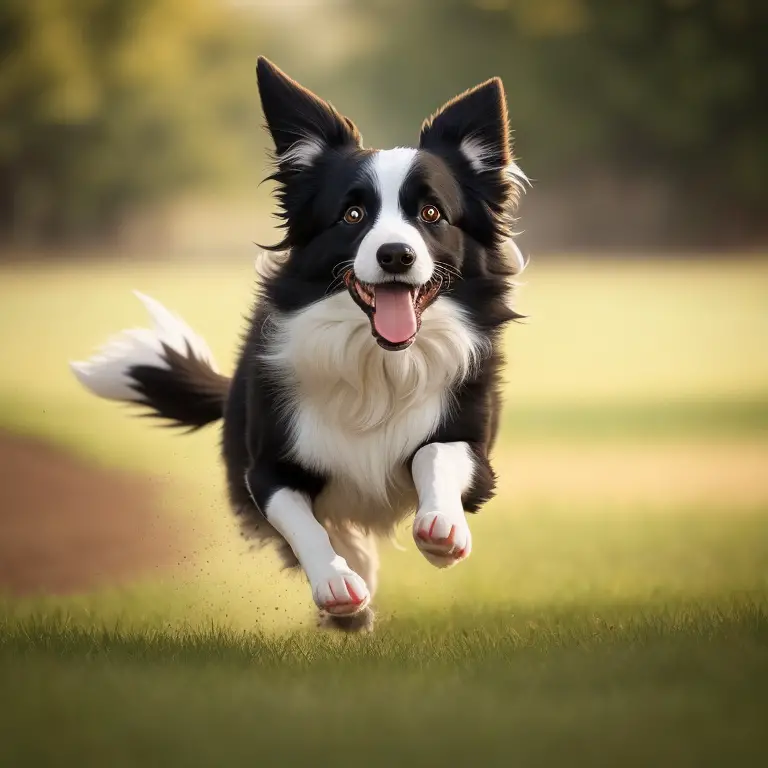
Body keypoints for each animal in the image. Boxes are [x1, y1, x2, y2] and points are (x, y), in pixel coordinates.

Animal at [70, 58, 528, 632]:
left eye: (432, 214)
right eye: (352, 216)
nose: (395, 255)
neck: (377, 362)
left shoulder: (475, 446)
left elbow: (436, 454)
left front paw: (442, 528)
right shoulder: (266, 467)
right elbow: (302, 521)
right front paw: (337, 584)